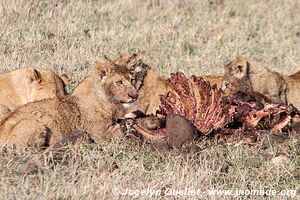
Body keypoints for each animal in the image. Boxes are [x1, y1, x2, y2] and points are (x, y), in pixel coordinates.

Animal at [0, 57, 138, 148]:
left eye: (132, 80)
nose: (134, 95)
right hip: (34, 124)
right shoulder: (101, 133)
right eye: (119, 82)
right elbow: (121, 132)